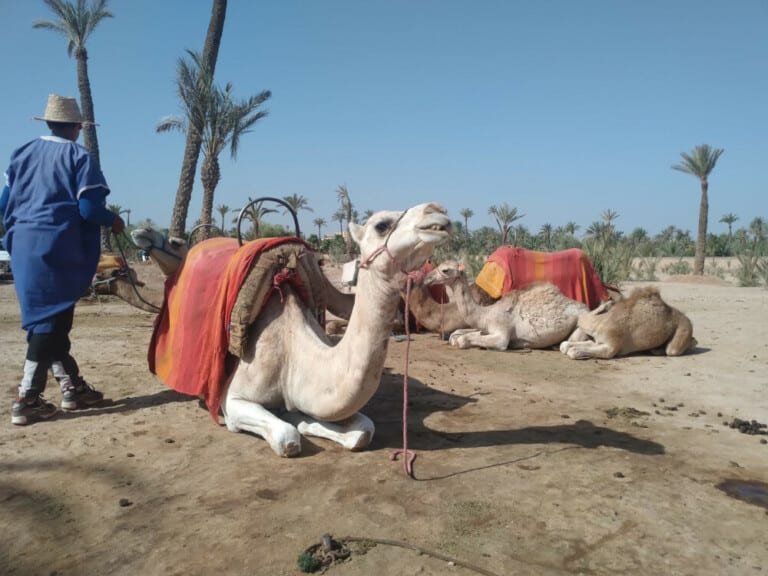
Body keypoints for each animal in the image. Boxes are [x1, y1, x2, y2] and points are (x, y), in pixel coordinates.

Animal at [130, 203, 451, 457]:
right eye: (381, 225)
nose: (437, 212)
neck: (292, 351)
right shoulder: (232, 399)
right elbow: (288, 438)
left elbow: (362, 431)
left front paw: (306, 421)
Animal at [422, 260, 588, 351]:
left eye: (445, 270)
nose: (426, 278)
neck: (486, 314)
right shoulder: (485, 328)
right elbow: (460, 336)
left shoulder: (502, 333)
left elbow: (462, 340)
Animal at [559, 286, 696, 359]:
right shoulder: (598, 341)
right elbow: (565, 345)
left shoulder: (611, 347)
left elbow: (573, 351)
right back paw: (655, 350)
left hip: (680, 337)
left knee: (674, 349)